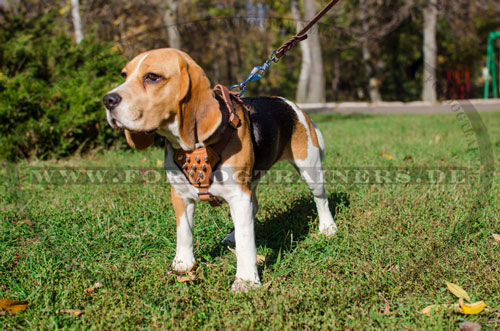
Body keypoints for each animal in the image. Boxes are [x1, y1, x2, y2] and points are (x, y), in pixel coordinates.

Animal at [102, 48, 338, 292]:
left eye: (152, 77)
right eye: (124, 75)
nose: (107, 100)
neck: (194, 147)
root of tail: (292, 105)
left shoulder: (238, 195)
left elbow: (246, 241)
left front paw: (246, 281)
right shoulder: (181, 195)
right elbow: (184, 232)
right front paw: (183, 263)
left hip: (309, 168)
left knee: (320, 198)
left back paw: (327, 227)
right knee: (253, 208)